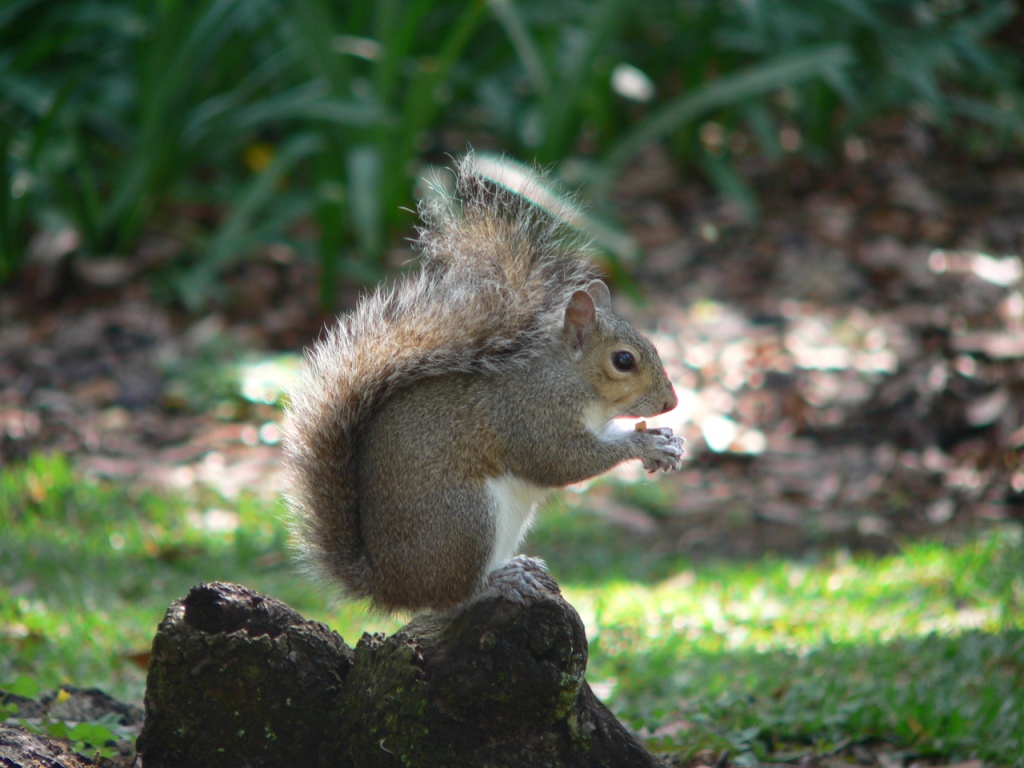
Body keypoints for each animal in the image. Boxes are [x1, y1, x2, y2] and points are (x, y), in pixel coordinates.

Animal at [283, 154, 684, 614]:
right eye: (623, 360)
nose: (671, 402)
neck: (572, 381)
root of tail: (392, 584)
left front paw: (667, 441)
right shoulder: (532, 415)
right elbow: (562, 461)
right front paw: (644, 444)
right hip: (466, 519)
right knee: (453, 596)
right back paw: (499, 581)